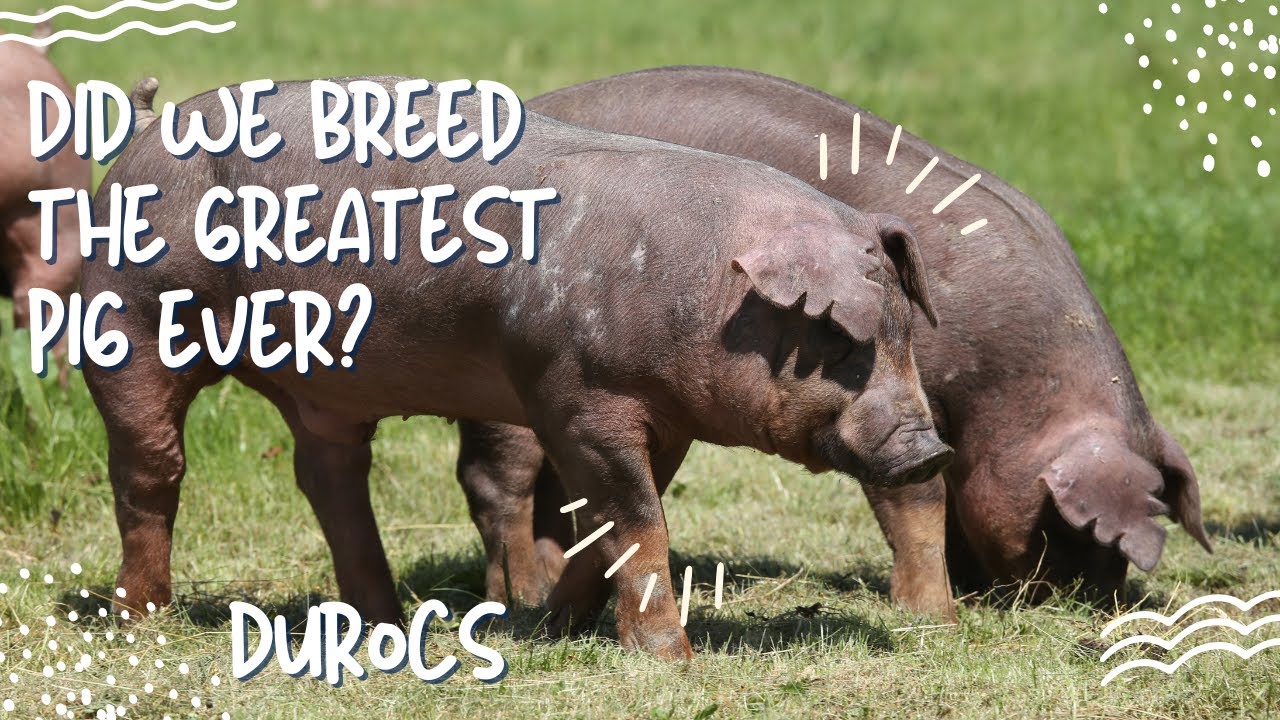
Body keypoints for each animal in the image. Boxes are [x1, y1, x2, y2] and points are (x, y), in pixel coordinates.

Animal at [86, 76, 951, 659]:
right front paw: (671, 660)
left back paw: (385, 624)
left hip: (320, 395)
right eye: (839, 343)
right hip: (129, 314)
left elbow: (606, 524)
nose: (930, 448)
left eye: (906, 331)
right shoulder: (576, 393)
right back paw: (144, 618)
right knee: (149, 468)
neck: (700, 287)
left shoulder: (664, 418)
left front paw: (553, 626)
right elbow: (635, 517)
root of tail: (149, 129)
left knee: (330, 477)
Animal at [453, 66, 1211, 619]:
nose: (1094, 603)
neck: (1010, 387)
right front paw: (928, 612)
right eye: (1070, 526)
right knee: (498, 480)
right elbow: (915, 496)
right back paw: (520, 596)